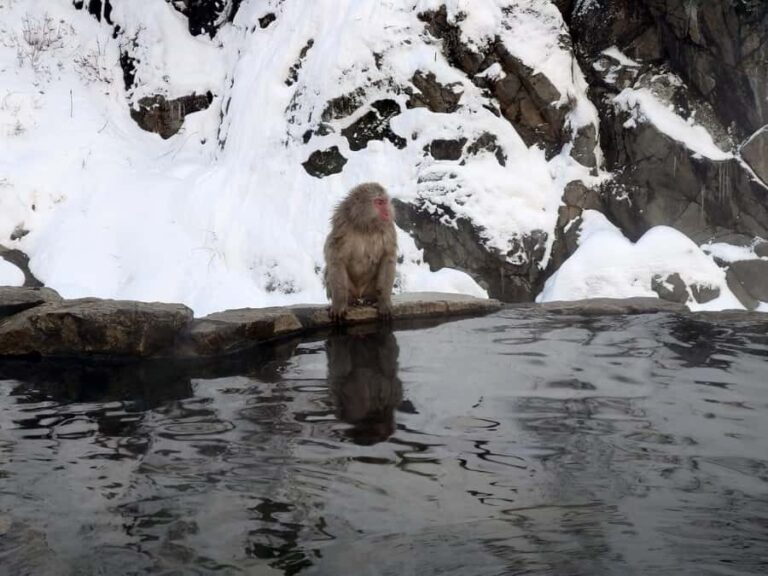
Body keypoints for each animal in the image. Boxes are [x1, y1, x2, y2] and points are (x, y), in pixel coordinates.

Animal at [323, 182, 397, 322]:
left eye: (385, 202)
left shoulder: (388, 227)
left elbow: (387, 257)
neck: (365, 226)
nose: (387, 212)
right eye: (379, 202)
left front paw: (384, 302)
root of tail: (360, 294)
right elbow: (336, 259)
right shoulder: (341, 223)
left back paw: (372, 299)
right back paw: (351, 300)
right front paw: (339, 304)